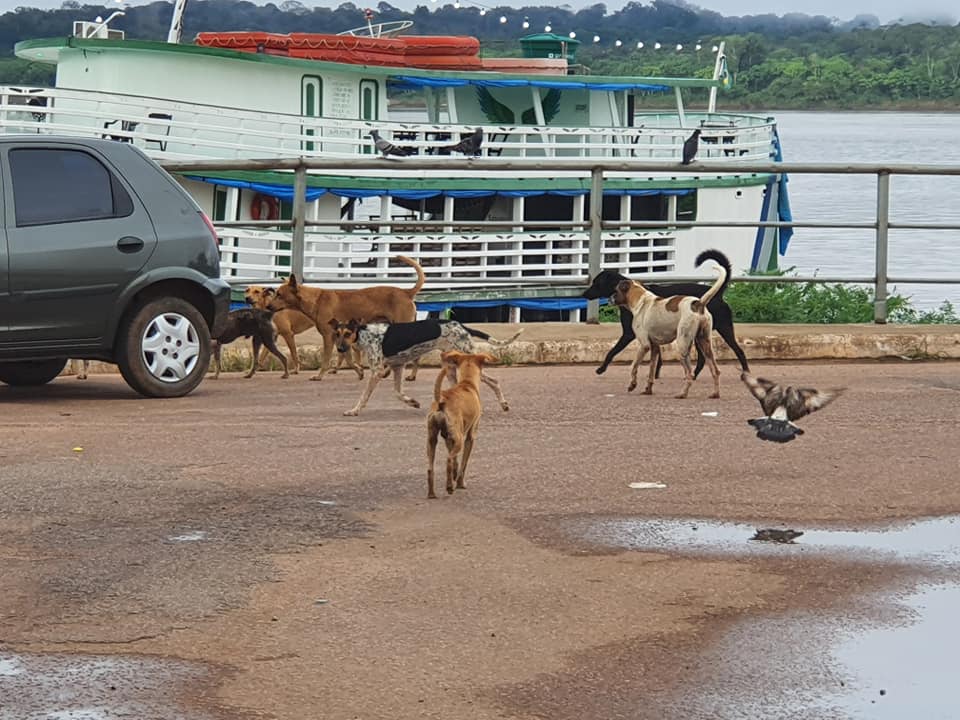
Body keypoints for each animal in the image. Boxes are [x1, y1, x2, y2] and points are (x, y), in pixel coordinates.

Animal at [264, 258, 426, 382]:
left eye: (279, 294)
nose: (268, 306)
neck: (315, 300)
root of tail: (406, 292)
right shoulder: (340, 337)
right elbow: (348, 359)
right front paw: (359, 371)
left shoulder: (328, 336)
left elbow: (326, 359)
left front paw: (319, 376)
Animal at [332, 316, 524, 414]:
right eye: (337, 334)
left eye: (348, 333)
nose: (340, 349)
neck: (364, 334)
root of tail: (463, 327)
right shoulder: (397, 367)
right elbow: (398, 393)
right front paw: (412, 402)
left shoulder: (377, 371)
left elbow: (364, 396)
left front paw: (354, 410)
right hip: (450, 367)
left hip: (466, 361)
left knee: (494, 381)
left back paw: (503, 404)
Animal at [430, 350, 502, 498]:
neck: (467, 383)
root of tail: (440, 403)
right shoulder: (470, 436)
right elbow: (464, 462)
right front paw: (460, 482)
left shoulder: (448, 438)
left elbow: (457, 462)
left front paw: (455, 474)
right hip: (459, 440)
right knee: (448, 460)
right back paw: (449, 487)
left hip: (432, 439)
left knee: (431, 468)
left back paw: (431, 493)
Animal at [584, 249, 752, 376]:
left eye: (596, 283)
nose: (583, 294)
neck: (634, 294)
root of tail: (718, 294)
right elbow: (658, 357)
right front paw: (655, 373)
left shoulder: (628, 334)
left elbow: (612, 351)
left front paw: (601, 368)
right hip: (699, 335)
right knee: (703, 359)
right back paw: (693, 376)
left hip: (723, 329)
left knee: (739, 351)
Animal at [612, 252, 724, 400]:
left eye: (616, 290)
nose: (610, 298)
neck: (641, 301)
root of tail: (698, 303)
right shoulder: (654, 348)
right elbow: (651, 371)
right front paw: (648, 390)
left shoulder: (644, 345)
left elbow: (633, 366)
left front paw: (632, 385)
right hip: (704, 343)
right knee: (715, 370)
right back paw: (715, 393)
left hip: (682, 346)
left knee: (689, 374)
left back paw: (683, 394)